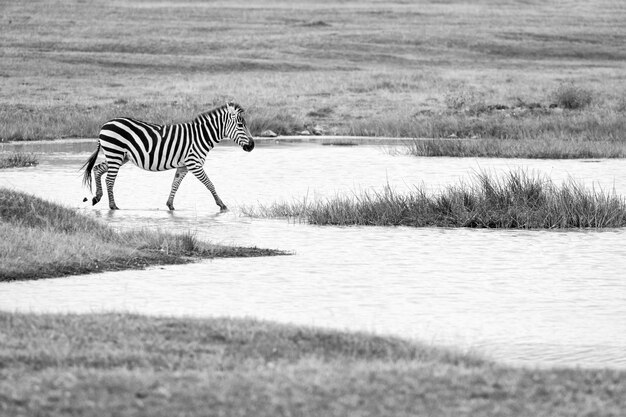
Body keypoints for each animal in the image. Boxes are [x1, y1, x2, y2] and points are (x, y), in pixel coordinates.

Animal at [80, 101, 254, 211]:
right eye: (240, 125)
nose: (252, 146)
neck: (201, 136)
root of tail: (105, 124)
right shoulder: (194, 163)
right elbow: (210, 184)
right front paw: (222, 205)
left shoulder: (184, 165)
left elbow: (175, 184)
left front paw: (170, 205)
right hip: (115, 153)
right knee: (109, 179)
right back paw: (113, 206)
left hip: (120, 156)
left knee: (98, 168)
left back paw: (97, 197)